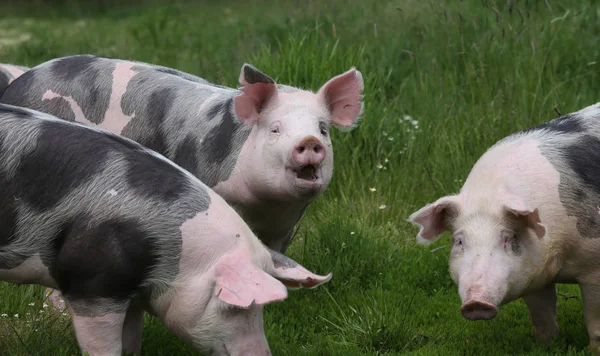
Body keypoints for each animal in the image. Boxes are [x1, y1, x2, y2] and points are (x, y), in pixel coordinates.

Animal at [0, 103, 330, 356]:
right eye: (234, 306)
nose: (262, 353)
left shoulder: (131, 293)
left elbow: (131, 340)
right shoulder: (92, 282)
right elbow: (103, 346)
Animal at [408, 101, 600, 354]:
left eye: (508, 238)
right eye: (459, 241)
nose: (476, 303)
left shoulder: (593, 268)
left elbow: (594, 324)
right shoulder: (535, 274)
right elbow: (542, 318)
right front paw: (546, 346)